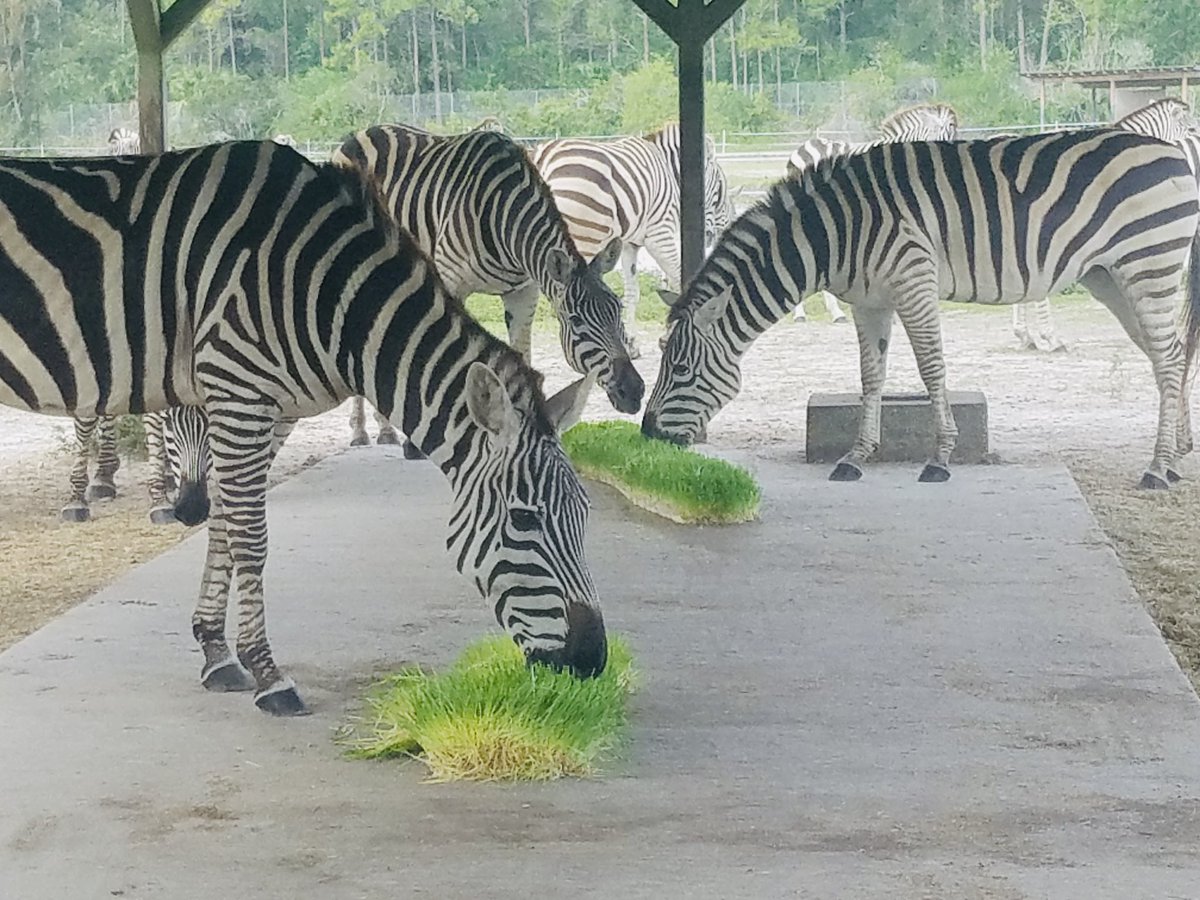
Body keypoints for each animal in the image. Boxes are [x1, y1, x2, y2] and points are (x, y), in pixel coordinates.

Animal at [0, 140, 606, 715]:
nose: (593, 661)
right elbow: (251, 537)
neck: (327, 294)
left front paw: (216, 651)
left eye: (584, 514)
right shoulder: (238, 388)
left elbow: (222, 521)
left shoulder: (267, 406)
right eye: (524, 519)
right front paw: (269, 675)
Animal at [331, 123, 641, 449]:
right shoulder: (451, 280)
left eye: (618, 311)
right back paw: (361, 431)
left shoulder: (523, 294)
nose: (634, 392)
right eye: (576, 321)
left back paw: (386, 429)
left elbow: (522, 353)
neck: (506, 218)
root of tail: (363, 132)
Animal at [530, 122, 733, 356]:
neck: (670, 169)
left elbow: (632, 292)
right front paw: (668, 337)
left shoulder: (630, 243)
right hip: (582, 237)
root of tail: (544, 157)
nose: (721, 231)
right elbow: (677, 278)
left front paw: (631, 342)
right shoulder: (659, 232)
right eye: (720, 190)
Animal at [642, 130, 1200, 489]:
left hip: (1149, 264)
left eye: (682, 368)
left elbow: (932, 369)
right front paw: (855, 457)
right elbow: (870, 377)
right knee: (1166, 357)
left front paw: (940, 459)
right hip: (1111, 276)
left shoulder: (914, 281)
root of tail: (1171, 148)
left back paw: (1156, 470)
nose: (647, 435)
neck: (832, 235)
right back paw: (1171, 461)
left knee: (1170, 357)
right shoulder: (868, 301)